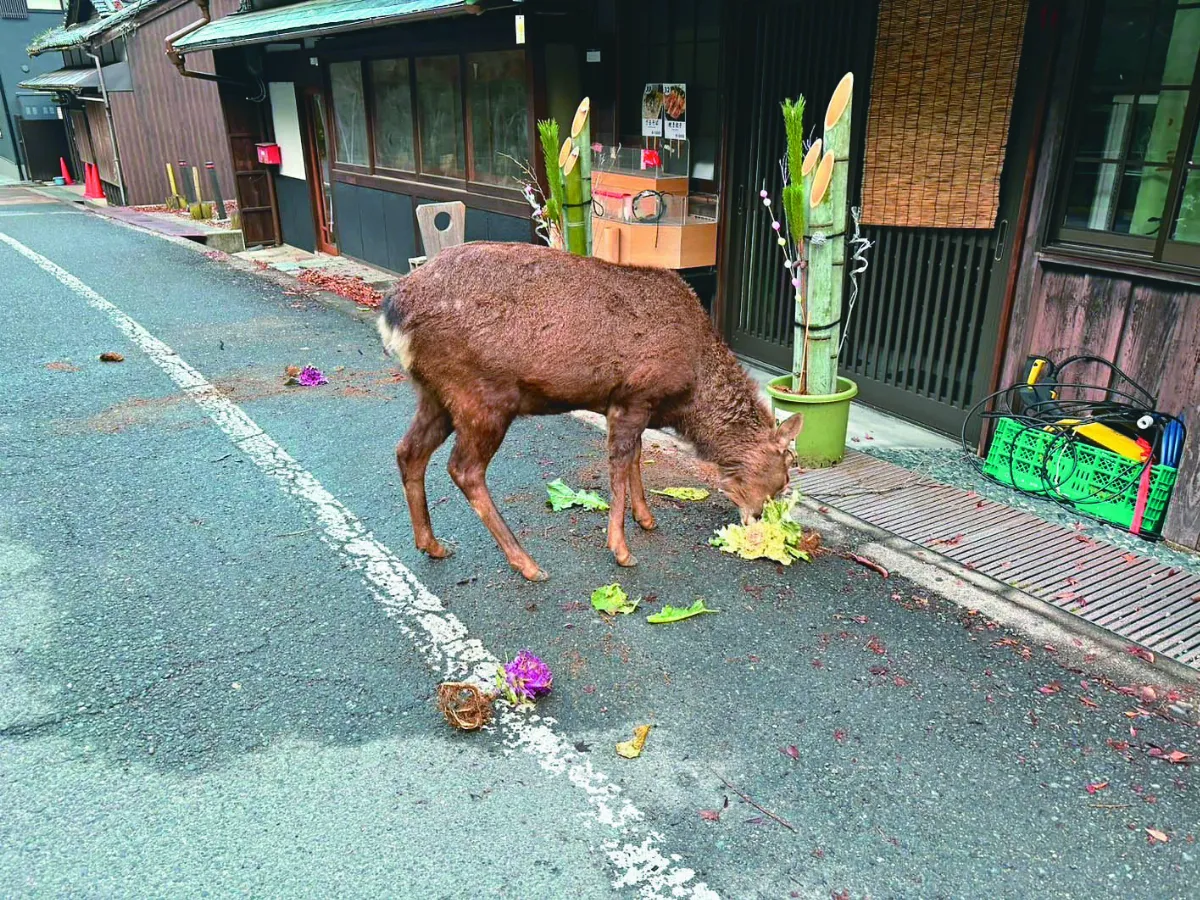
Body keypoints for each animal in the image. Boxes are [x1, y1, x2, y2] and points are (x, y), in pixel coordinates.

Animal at [378, 242, 804, 582]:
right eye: (783, 478)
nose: (757, 519)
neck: (690, 393)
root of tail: (391, 311)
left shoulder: (634, 404)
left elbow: (635, 458)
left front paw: (646, 518)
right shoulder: (634, 395)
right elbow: (619, 466)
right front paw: (621, 548)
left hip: (435, 393)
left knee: (408, 451)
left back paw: (431, 544)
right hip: (481, 394)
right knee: (464, 469)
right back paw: (526, 562)